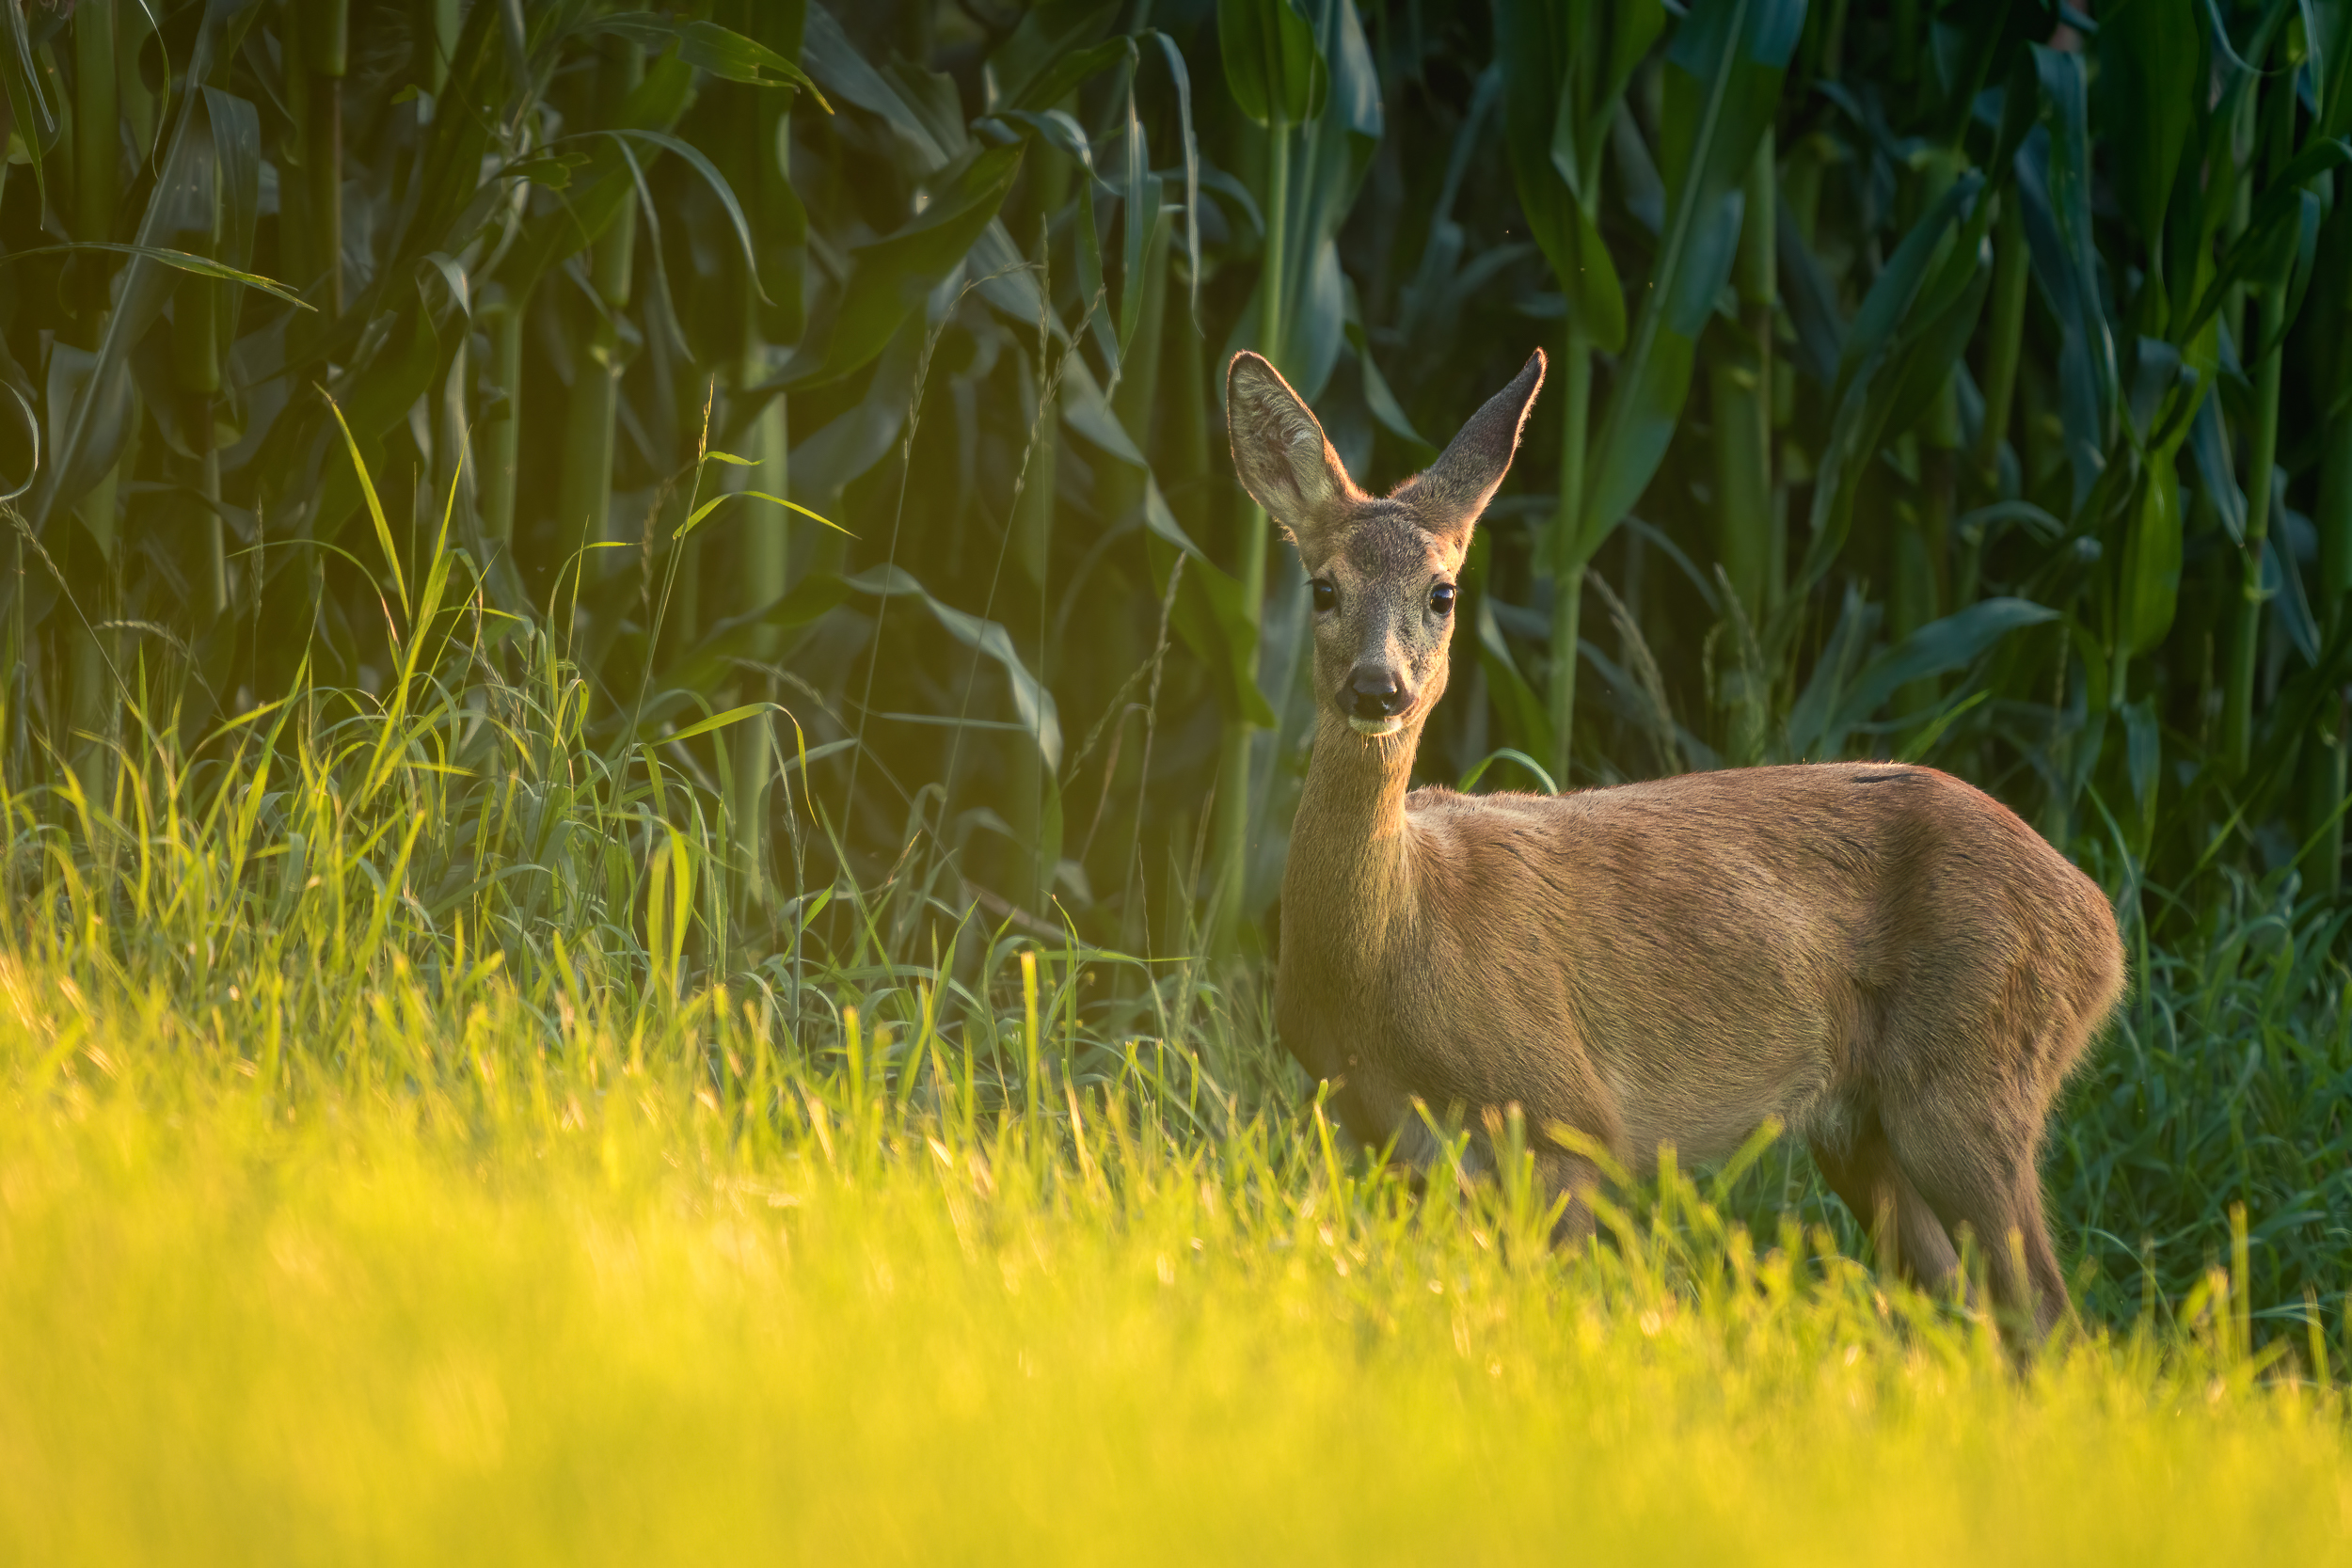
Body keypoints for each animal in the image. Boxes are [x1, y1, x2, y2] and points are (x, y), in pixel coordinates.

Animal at [1232, 345, 2136, 1335]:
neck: (1397, 943)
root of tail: (2103, 927)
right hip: (1863, 1125)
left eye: (1443, 592)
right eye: (1323, 587)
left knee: (2047, 1309)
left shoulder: (1567, 1114)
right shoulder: (1377, 1135)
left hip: (1974, 1077)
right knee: (1966, 1306)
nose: (1377, 686)